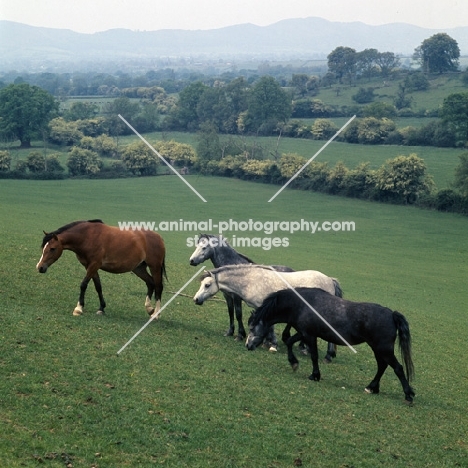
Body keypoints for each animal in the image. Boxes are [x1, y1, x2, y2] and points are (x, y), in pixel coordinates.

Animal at [37, 220, 167, 316]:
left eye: (52, 249)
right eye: (44, 248)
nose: (40, 267)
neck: (87, 237)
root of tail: (159, 237)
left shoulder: (94, 265)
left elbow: (83, 284)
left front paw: (79, 308)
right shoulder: (90, 266)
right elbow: (98, 286)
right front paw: (101, 308)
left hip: (154, 266)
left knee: (158, 286)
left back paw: (156, 314)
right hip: (139, 268)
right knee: (150, 283)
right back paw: (149, 308)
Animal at [192, 264, 342, 354]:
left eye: (207, 285)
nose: (196, 299)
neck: (250, 281)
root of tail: (330, 280)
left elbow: (270, 327)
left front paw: (272, 345)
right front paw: (267, 343)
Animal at [247, 288, 414, 404]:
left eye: (252, 327)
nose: (248, 346)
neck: (301, 304)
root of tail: (391, 314)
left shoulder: (309, 335)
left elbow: (314, 356)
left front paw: (314, 375)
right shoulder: (304, 333)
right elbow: (289, 342)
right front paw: (294, 363)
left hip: (383, 349)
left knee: (397, 368)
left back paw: (408, 394)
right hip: (378, 349)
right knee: (382, 366)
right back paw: (371, 387)